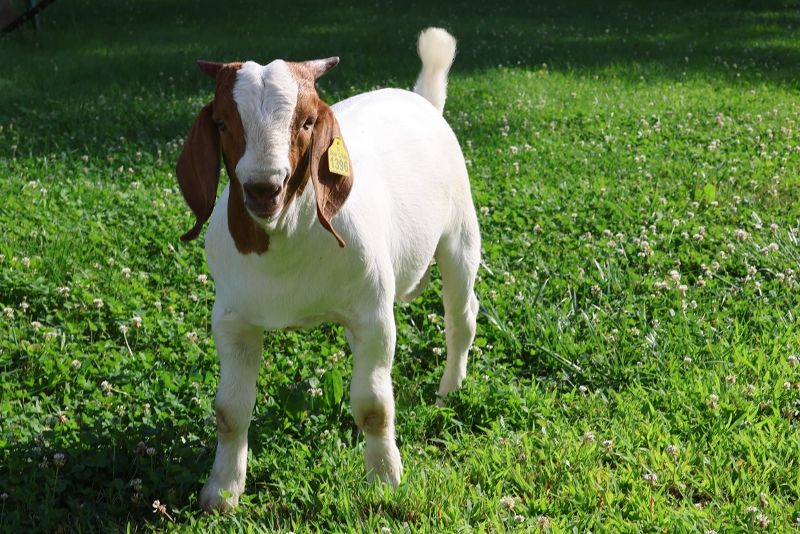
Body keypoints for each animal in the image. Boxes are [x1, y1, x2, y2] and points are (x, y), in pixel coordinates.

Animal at [176, 27, 480, 511]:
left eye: (305, 122)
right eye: (222, 123)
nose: (264, 188)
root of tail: (422, 100)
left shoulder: (373, 315)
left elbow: (373, 406)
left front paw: (384, 480)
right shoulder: (232, 321)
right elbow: (229, 411)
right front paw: (221, 493)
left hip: (460, 233)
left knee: (461, 316)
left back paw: (449, 389)